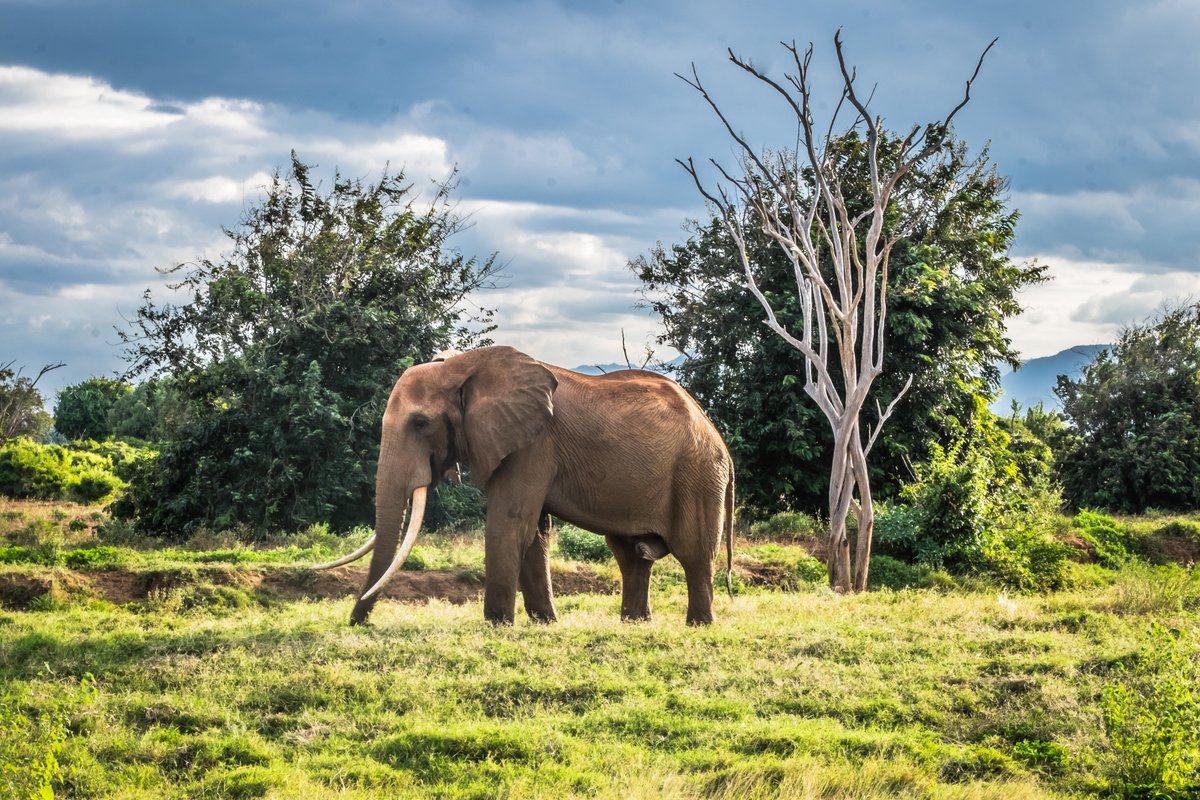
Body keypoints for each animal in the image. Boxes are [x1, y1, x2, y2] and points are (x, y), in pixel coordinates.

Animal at [315, 345, 735, 626]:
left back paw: (698, 625)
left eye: (420, 423)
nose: (357, 623)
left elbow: (510, 522)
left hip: (697, 475)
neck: (464, 366)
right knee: (631, 555)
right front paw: (545, 623)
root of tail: (719, 440)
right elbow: (533, 533)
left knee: (694, 553)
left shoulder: (533, 445)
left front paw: (497, 625)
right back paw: (634, 623)